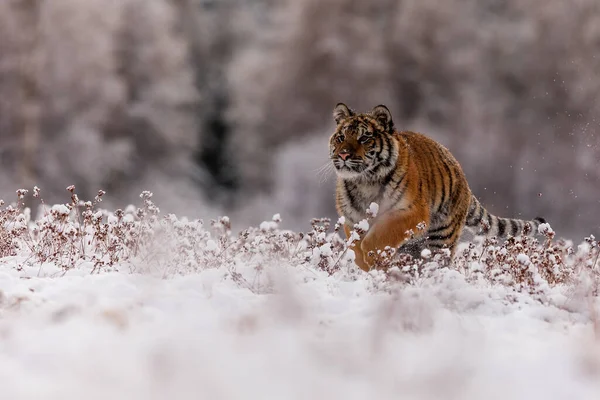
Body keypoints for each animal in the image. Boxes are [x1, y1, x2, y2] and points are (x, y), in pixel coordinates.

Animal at [330, 103, 548, 272]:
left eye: (364, 138)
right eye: (341, 138)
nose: (343, 154)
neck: (365, 181)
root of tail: (464, 178)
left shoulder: (412, 212)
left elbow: (378, 237)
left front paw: (373, 257)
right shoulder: (352, 220)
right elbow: (355, 246)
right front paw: (367, 265)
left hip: (440, 238)